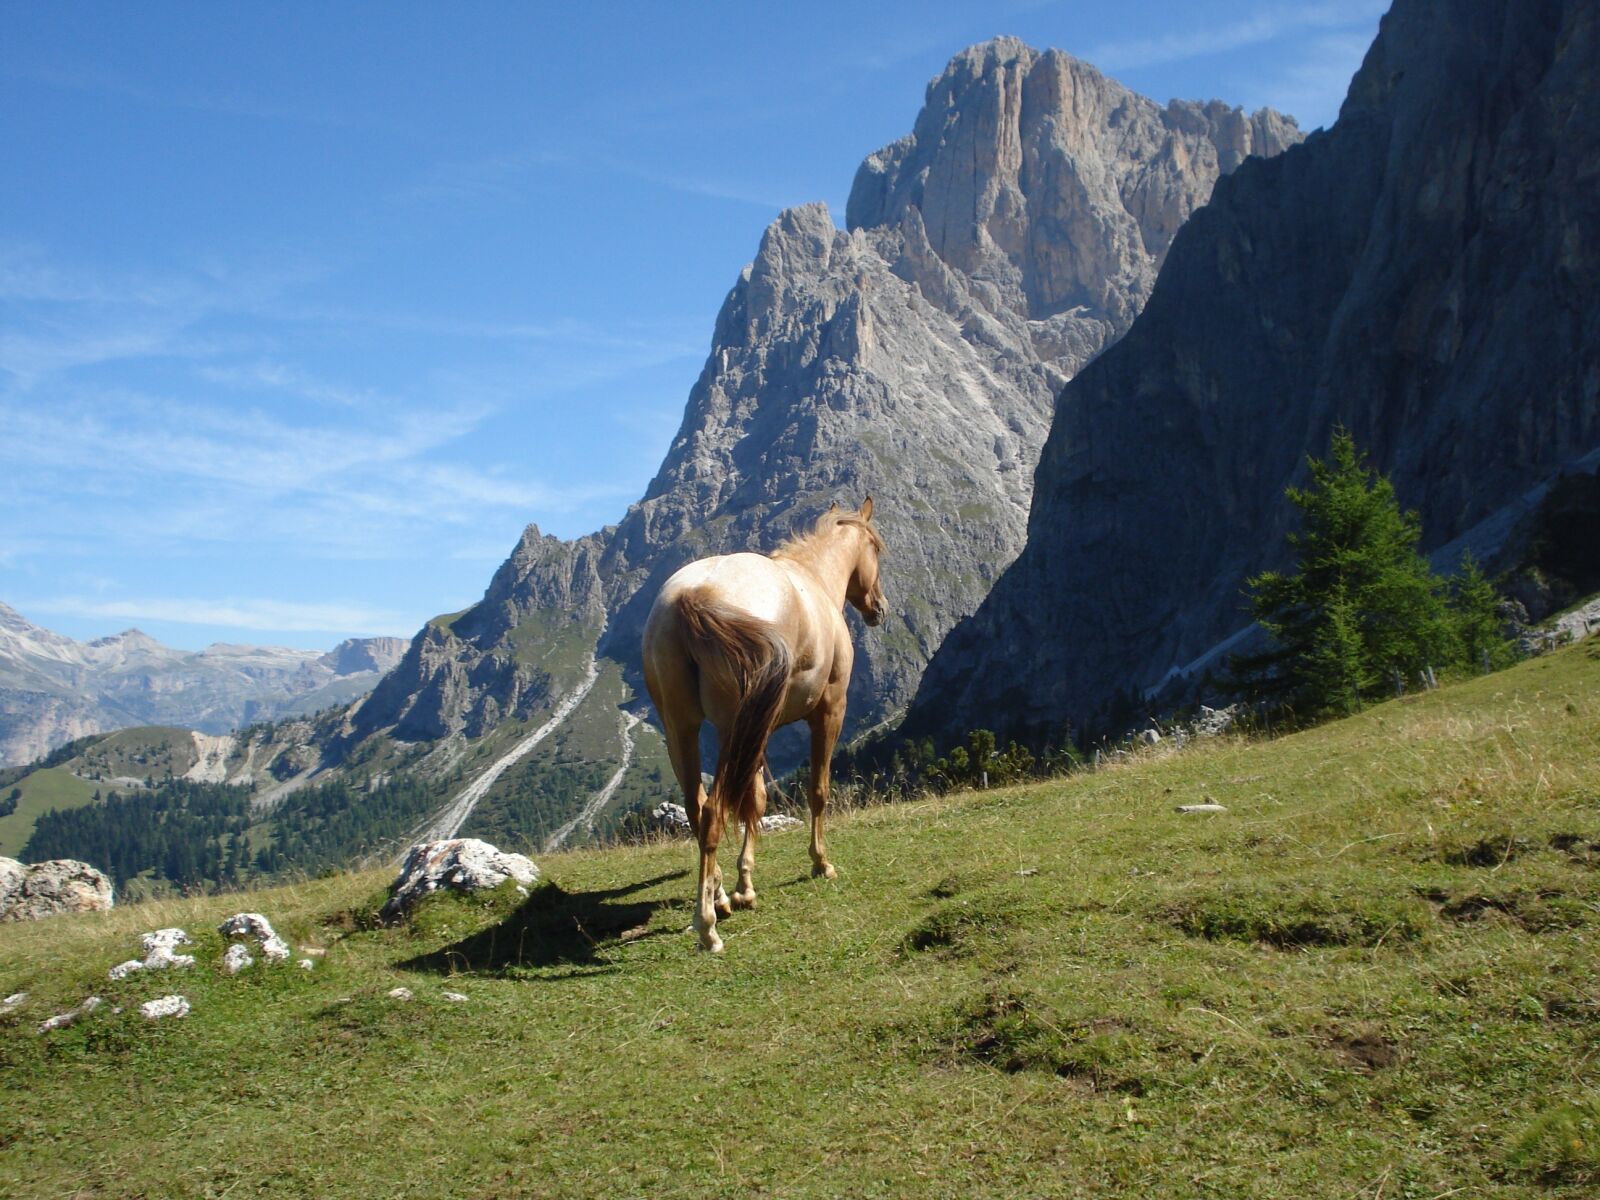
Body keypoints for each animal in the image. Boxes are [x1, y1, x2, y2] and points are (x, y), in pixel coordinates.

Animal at [640, 496, 889, 947]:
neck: (814, 581)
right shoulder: (830, 710)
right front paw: (820, 863)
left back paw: (717, 896)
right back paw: (707, 925)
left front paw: (743, 887)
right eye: (875, 549)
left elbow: (754, 801)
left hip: (681, 728)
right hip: (730, 729)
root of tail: (692, 597)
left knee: (697, 809)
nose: (879, 607)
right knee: (714, 811)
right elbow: (817, 790)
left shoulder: (759, 730)